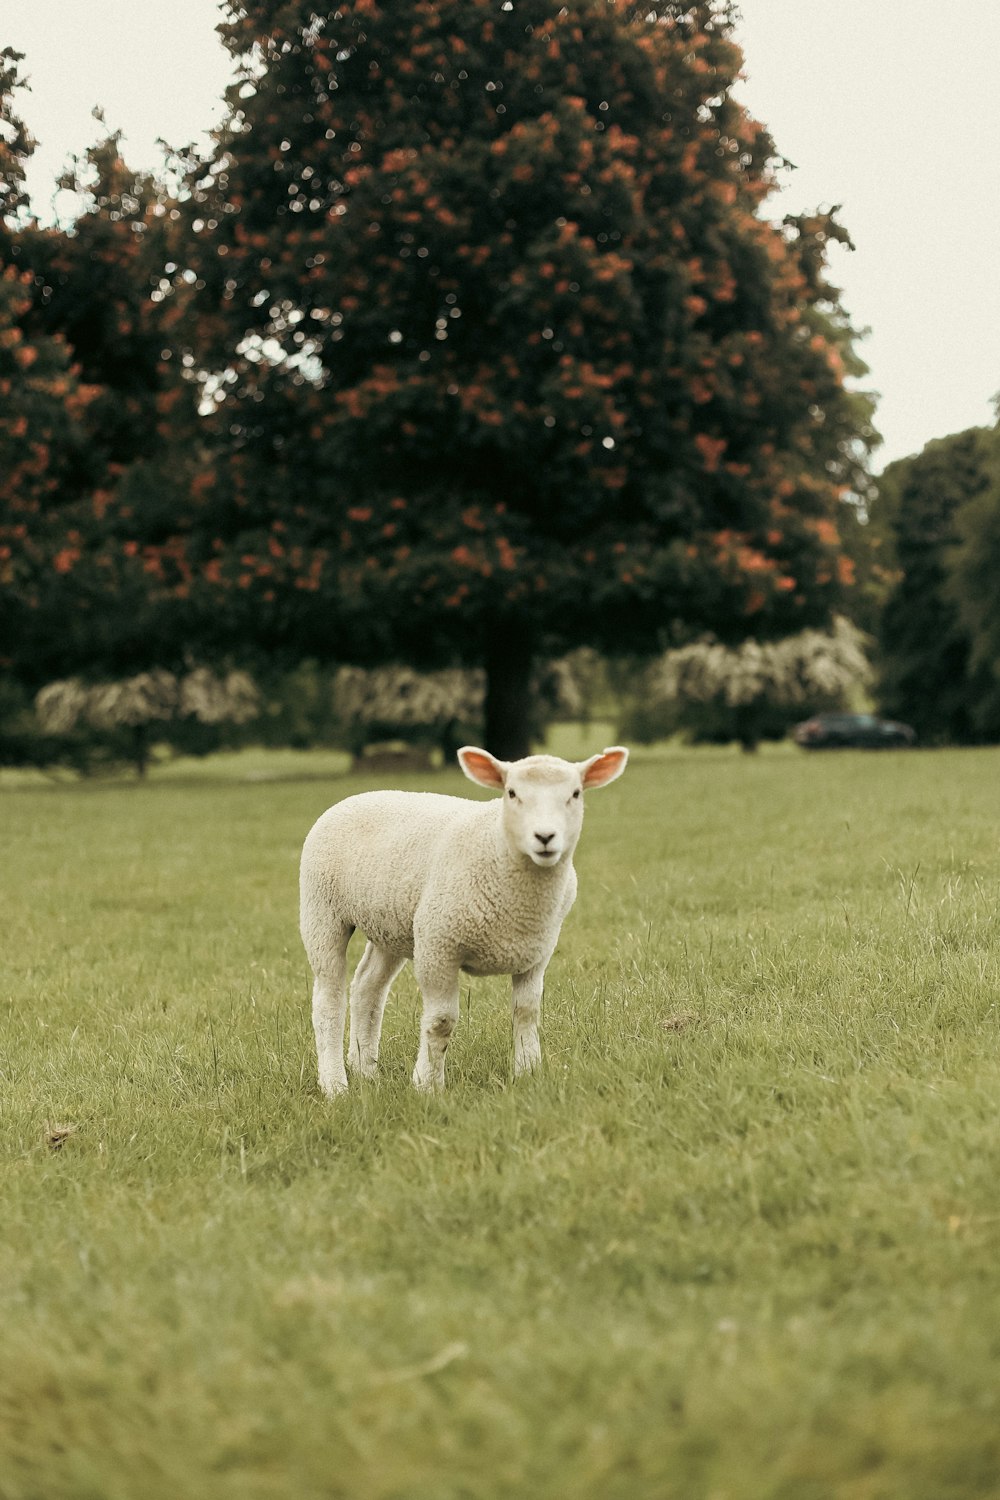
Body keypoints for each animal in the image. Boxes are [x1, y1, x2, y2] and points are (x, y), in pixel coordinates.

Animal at [299, 744, 626, 1098]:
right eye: (512, 793)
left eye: (575, 793)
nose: (545, 837)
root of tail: (355, 797)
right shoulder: (437, 944)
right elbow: (440, 1021)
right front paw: (427, 1085)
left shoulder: (537, 952)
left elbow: (527, 1012)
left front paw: (527, 1073)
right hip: (322, 911)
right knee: (328, 1000)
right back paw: (335, 1085)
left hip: (391, 924)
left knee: (367, 988)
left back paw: (365, 1070)